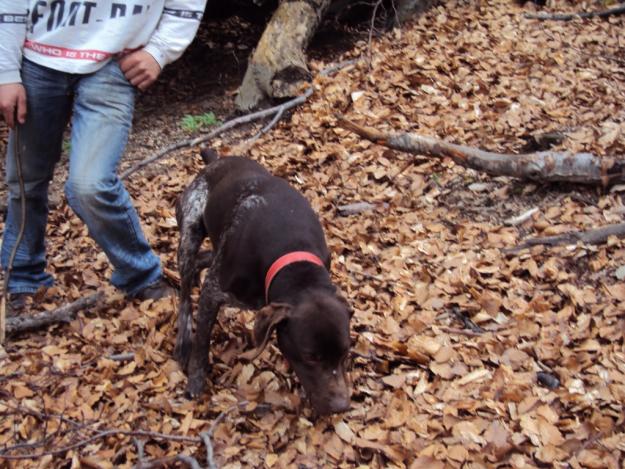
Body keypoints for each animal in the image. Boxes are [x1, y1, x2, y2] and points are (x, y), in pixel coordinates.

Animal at [174, 149, 352, 414]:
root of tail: (215, 160)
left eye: (345, 352)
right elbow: (202, 342)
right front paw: (196, 380)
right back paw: (183, 338)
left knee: (201, 260)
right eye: (311, 357)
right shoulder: (213, 292)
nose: (341, 406)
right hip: (189, 234)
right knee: (185, 291)